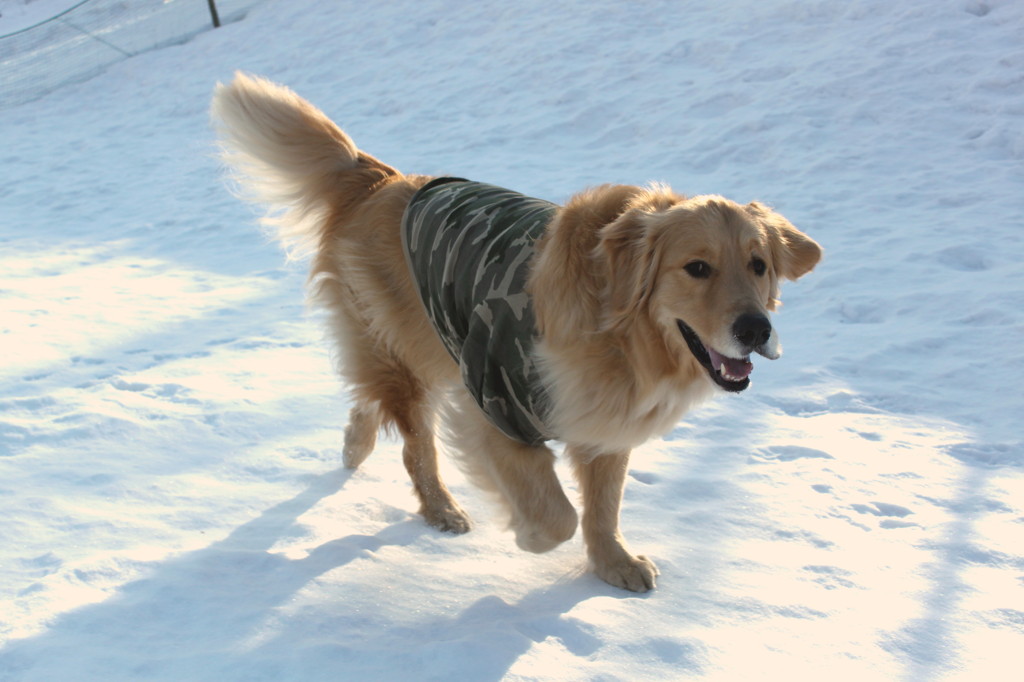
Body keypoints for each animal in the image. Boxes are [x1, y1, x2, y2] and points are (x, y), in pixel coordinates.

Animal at [211, 71, 819, 585]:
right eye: (697, 268)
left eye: (758, 265)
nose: (756, 329)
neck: (618, 337)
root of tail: (379, 177)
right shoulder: (490, 406)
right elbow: (557, 516)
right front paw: (528, 538)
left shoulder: (605, 425)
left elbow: (603, 507)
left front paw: (612, 563)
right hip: (419, 354)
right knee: (413, 444)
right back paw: (440, 508)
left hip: (423, 343)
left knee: (369, 396)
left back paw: (353, 446)